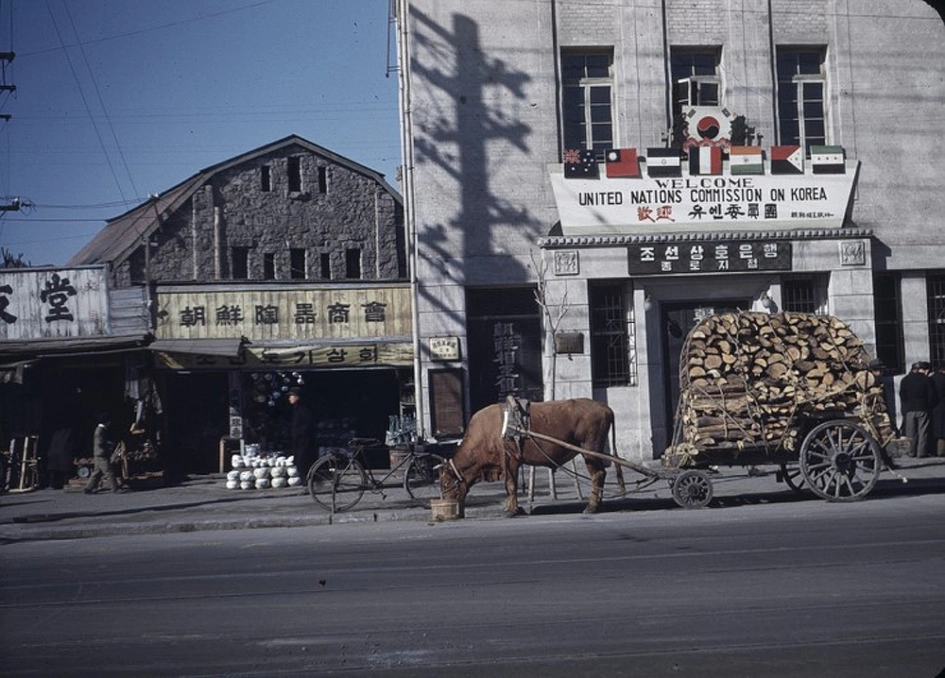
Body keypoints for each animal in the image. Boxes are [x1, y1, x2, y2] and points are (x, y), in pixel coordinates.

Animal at [438, 398, 624, 516]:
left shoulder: (511, 462)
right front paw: (514, 508)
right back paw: (597, 504)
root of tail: (606, 408)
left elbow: (510, 486)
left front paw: (511, 510)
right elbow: (510, 487)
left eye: (446, 482)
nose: (446, 502)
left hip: (589, 451)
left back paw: (591, 507)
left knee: (597, 474)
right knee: (601, 474)